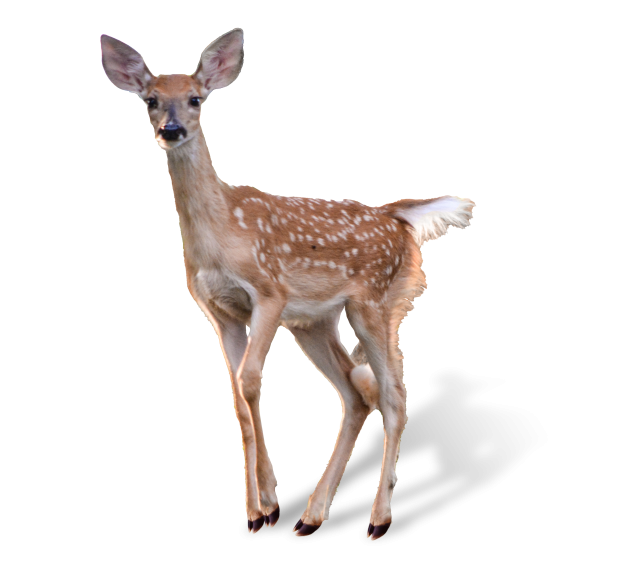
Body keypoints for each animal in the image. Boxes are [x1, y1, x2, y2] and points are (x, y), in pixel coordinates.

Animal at [101, 28, 475, 541]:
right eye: (151, 100)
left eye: (196, 99)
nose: (171, 130)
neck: (222, 233)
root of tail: (396, 217)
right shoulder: (219, 311)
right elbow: (238, 396)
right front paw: (262, 507)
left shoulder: (269, 293)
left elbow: (251, 380)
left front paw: (265, 508)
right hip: (314, 322)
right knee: (357, 394)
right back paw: (312, 515)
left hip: (372, 302)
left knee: (394, 396)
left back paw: (377, 519)